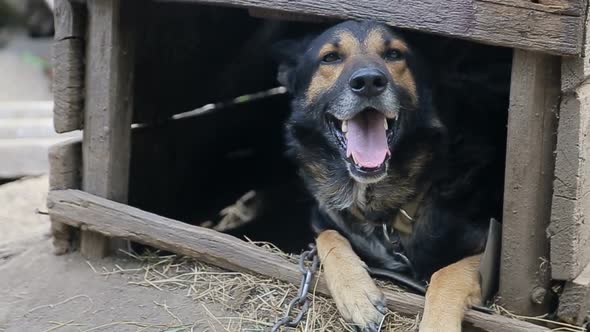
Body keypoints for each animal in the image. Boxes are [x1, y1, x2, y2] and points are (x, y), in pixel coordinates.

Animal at [276, 20, 512, 332]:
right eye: (330, 58)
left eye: (394, 54)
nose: (368, 82)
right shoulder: (323, 219)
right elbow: (329, 238)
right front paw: (357, 294)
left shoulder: (489, 246)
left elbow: (445, 274)